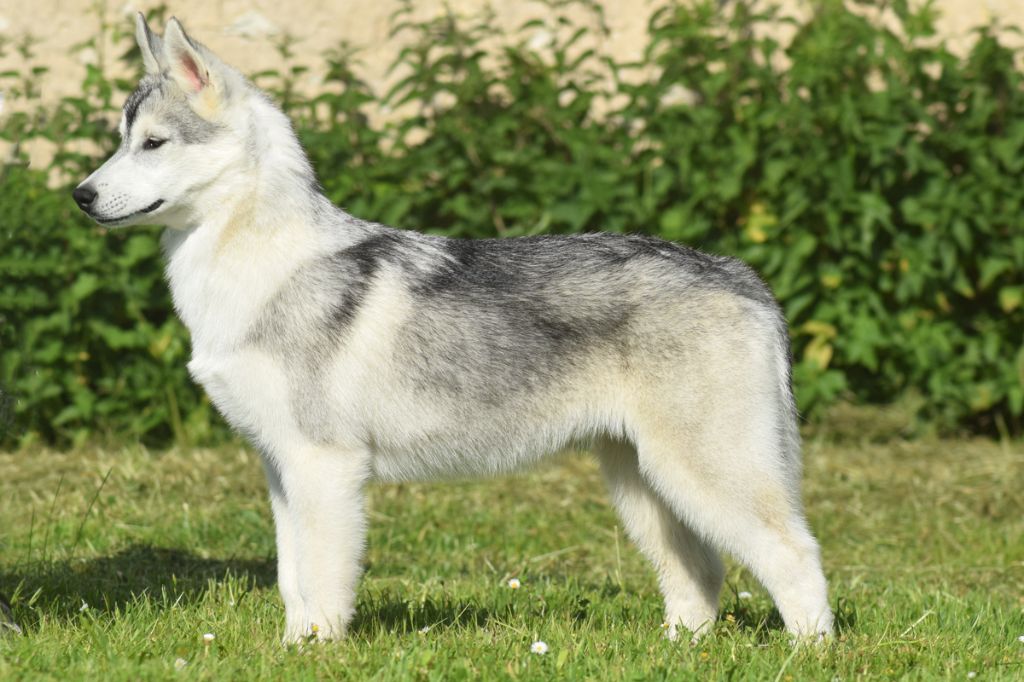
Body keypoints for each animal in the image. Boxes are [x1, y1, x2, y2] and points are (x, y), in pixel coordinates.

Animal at [72, 14, 833, 643]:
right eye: (120, 142)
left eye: (153, 143)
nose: (80, 195)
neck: (259, 262)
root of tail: (741, 275)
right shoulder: (281, 468)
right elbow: (292, 579)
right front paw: (288, 649)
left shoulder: (323, 468)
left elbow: (321, 581)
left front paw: (315, 650)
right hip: (644, 484)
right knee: (701, 574)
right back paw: (678, 648)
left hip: (706, 475)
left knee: (796, 555)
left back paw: (810, 651)